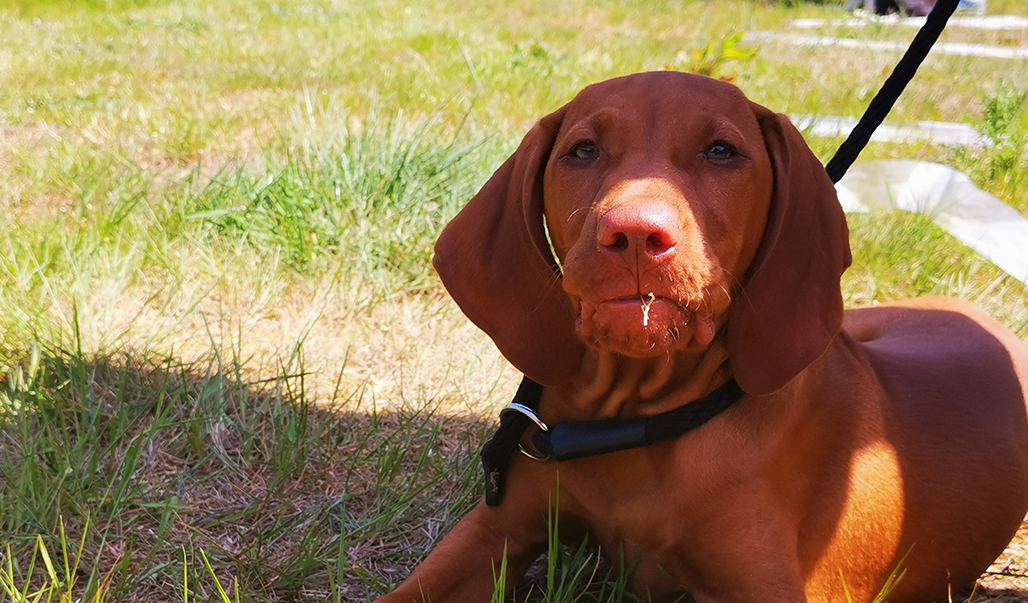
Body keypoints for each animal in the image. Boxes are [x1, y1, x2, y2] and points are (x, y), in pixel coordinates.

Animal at [376, 71, 1028, 603]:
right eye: (583, 150)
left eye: (721, 151)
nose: (636, 235)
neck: (639, 419)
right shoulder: (496, 528)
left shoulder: (762, 586)